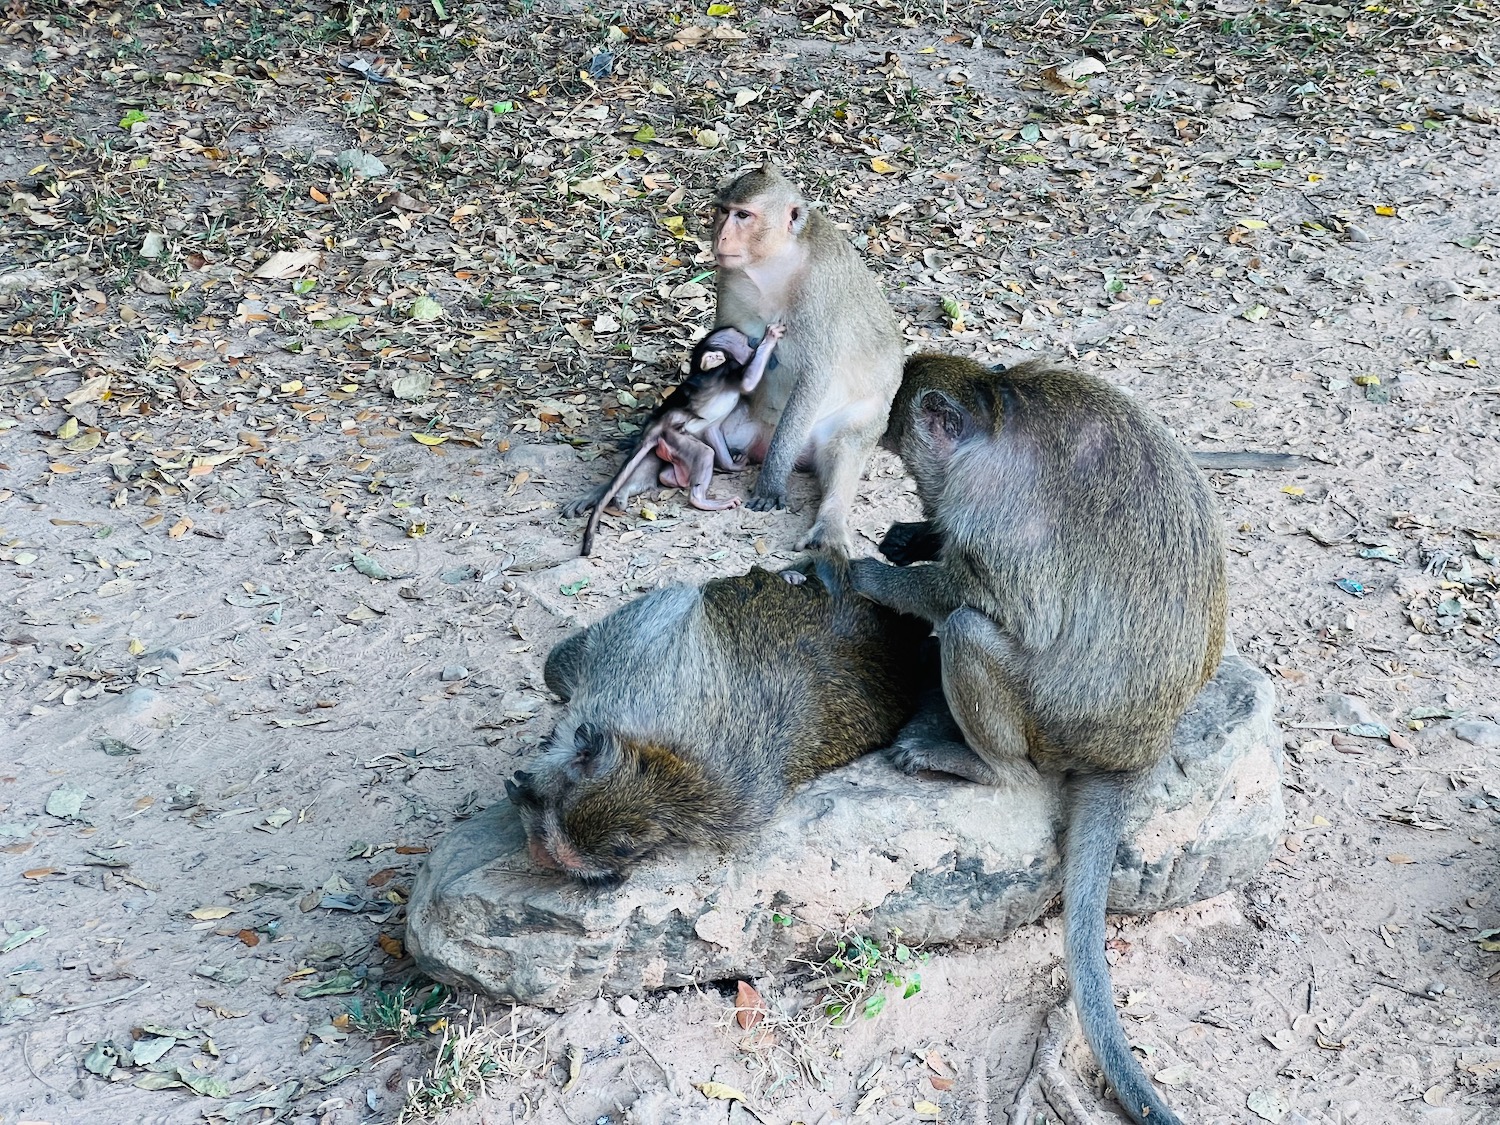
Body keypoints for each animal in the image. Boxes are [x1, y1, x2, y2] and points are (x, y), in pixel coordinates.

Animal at [573, 324, 792, 558]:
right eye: (747, 342)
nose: (753, 342)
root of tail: (657, 425)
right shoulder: (728, 371)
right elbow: (748, 382)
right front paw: (770, 338)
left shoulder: (712, 422)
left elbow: (713, 430)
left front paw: (732, 466)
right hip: (673, 436)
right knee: (705, 454)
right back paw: (701, 500)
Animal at [705, 164, 894, 561]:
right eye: (723, 211)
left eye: (743, 216)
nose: (721, 235)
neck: (777, 262)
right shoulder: (730, 280)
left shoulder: (818, 292)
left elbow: (815, 376)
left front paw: (772, 483)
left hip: (851, 421)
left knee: (845, 447)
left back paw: (829, 523)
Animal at [852, 354, 1224, 1125]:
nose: (919, 495)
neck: (999, 410)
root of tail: (1135, 752)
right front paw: (913, 536)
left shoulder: (988, 507)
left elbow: (984, 596)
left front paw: (872, 574)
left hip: (1048, 730)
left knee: (969, 628)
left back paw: (980, 764)